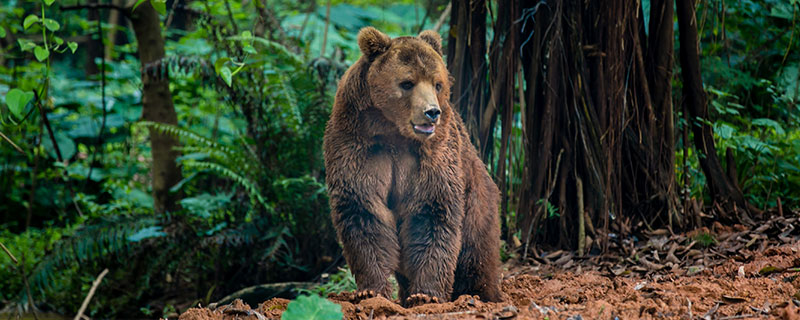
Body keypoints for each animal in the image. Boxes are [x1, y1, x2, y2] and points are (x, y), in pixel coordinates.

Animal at [324, 27, 500, 308]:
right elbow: (363, 211)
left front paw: (426, 294)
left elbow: (432, 212)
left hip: (478, 201)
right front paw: (370, 291)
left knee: (476, 252)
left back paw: (478, 293)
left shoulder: (433, 154)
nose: (432, 112)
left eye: (437, 83)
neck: (392, 130)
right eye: (407, 83)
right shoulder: (357, 144)